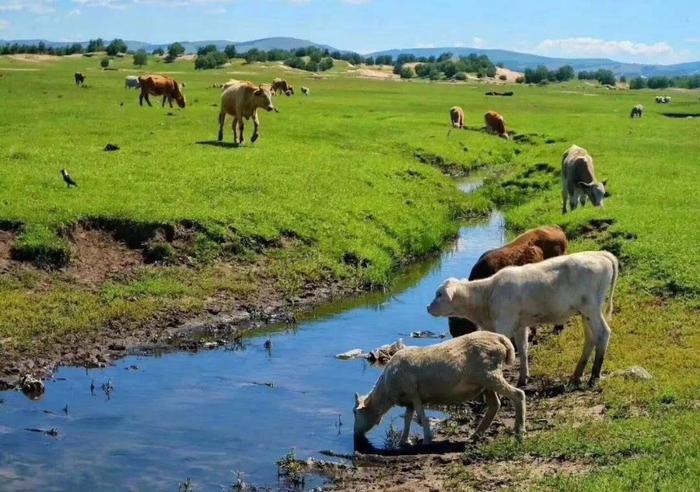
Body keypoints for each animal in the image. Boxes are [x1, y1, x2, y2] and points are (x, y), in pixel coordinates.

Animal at [356, 332, 524, 444]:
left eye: (355, 413)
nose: (356, 436)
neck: (386, 390)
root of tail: (501, 339)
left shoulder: (414, 394)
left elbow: (421, 417)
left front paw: (426, 440)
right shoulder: (410, 399)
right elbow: (408, 419)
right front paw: (403, 441)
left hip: (490, 375)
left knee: (518, 395)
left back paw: (519, 431)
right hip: (486, 381)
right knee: (495, 405)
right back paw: (476, 435)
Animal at [426, 252, 616, 386]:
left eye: (439, 294)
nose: (427, 307)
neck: (487, 295)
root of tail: (600, 254)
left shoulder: (504, 324)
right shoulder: (520, 326)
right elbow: (523, 350)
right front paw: (523, 379)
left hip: (591, 308)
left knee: (603, 333)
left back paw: (594, 376)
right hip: (586, 312)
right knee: (591, 337)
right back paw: (577, 375)